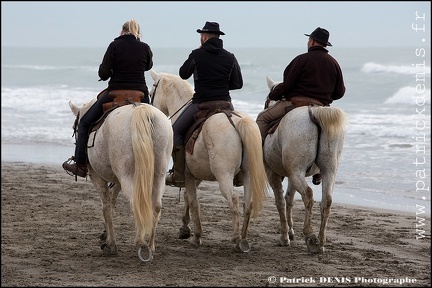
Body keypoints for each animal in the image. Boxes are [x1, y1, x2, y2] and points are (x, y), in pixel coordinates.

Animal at [67, 100, 172, 262]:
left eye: (75, 128)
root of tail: (141, 110)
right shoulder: (118, 181)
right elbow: (112, 202)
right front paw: (105, 236)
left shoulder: (97, 176)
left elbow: (106, 207)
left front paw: (110, 244)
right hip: (159, 175)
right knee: (156, 206)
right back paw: (150, 245)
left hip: (127, 175)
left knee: (136, 204)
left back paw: (140, 243)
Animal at [150, 70, 268, 252]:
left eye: (151, 93)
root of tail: (235, 120)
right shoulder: (195, 175)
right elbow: (188, 197)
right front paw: (185, 228)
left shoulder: (188, 175)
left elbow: (193, 202)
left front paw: (196, 236)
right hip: (248, 174)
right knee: (248, 203)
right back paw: (243, 239)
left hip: (223, 175)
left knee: (233, 200)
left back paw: (235, 239)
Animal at [264, 76, 348, 254]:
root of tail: (314, 112)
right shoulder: (291, 174)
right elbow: (289, 199)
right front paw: (290, 231)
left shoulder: (273, 173)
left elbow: (281, 201)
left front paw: (285, 237)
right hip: (327, 170)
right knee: (326, 200)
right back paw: (321, 242)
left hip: (297, 172)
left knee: (308, 195)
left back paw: (310, 236)